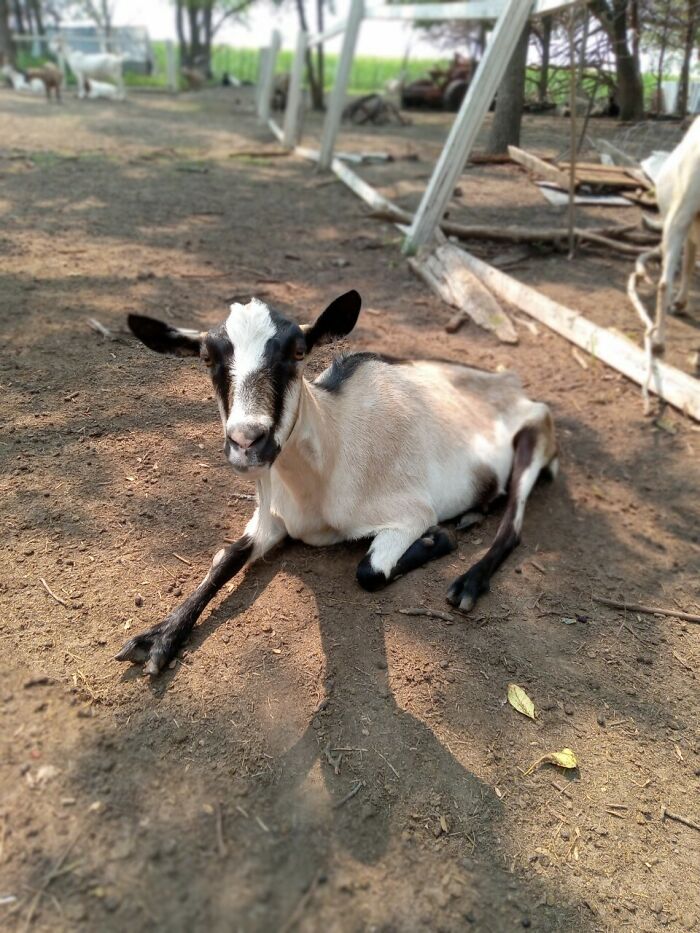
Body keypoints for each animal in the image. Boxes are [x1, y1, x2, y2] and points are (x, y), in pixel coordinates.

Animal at [116, 290, 558, 676]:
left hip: (535, 435)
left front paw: (439, 538)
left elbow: (370, 572)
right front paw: (159, 638)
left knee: (513, 526)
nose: (247, 442)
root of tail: (511, 384)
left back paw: (468, 580)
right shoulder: (271, 519)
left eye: (298, 352)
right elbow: (225, 557)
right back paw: (473, 514)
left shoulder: (411, 513)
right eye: (207, 357)